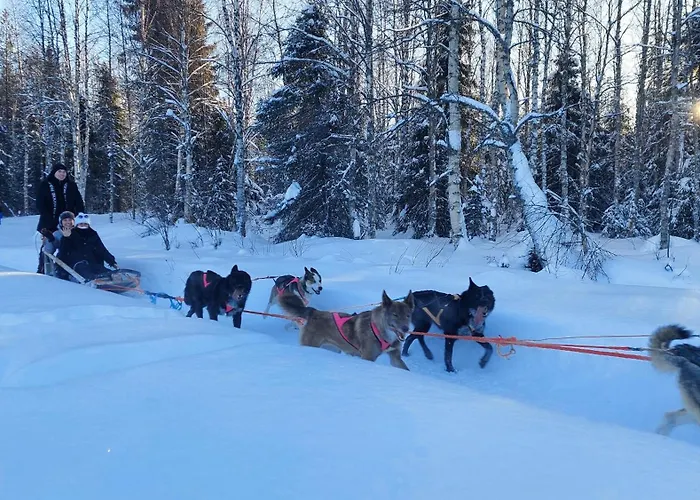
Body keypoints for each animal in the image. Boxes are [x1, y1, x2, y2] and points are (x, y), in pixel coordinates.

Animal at [277, 290, 414, 370]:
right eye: (395, 315)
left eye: (408, 315)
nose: (405, 328)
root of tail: (314, 312)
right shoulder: (368, 358)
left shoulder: (395, 357)